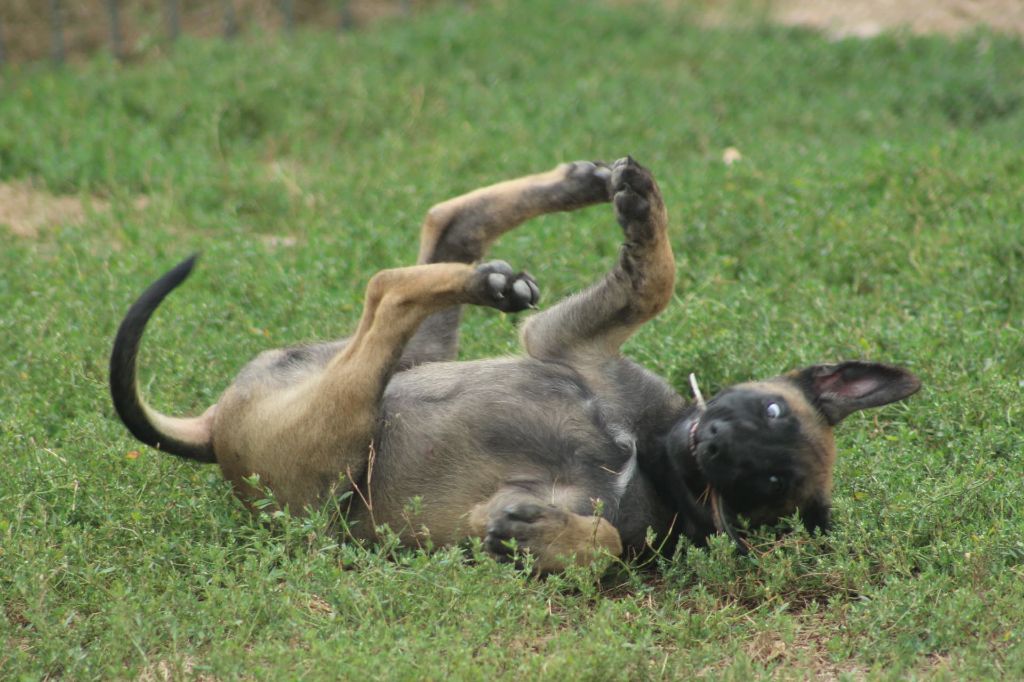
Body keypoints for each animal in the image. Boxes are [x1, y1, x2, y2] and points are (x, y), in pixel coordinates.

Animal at [110, 157, 921, 571]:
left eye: (770, 484)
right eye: (771, 408)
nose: (716, 440)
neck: (652, 457)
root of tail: (212, 432)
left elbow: (600, 547)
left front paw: (538, 534)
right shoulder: (568, 345)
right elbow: (655, 279)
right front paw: (640, 208)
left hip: (337, 443)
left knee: (388, 287)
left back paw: (486, 279)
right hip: (392, 372)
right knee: (439, 230)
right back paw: (569, 192)